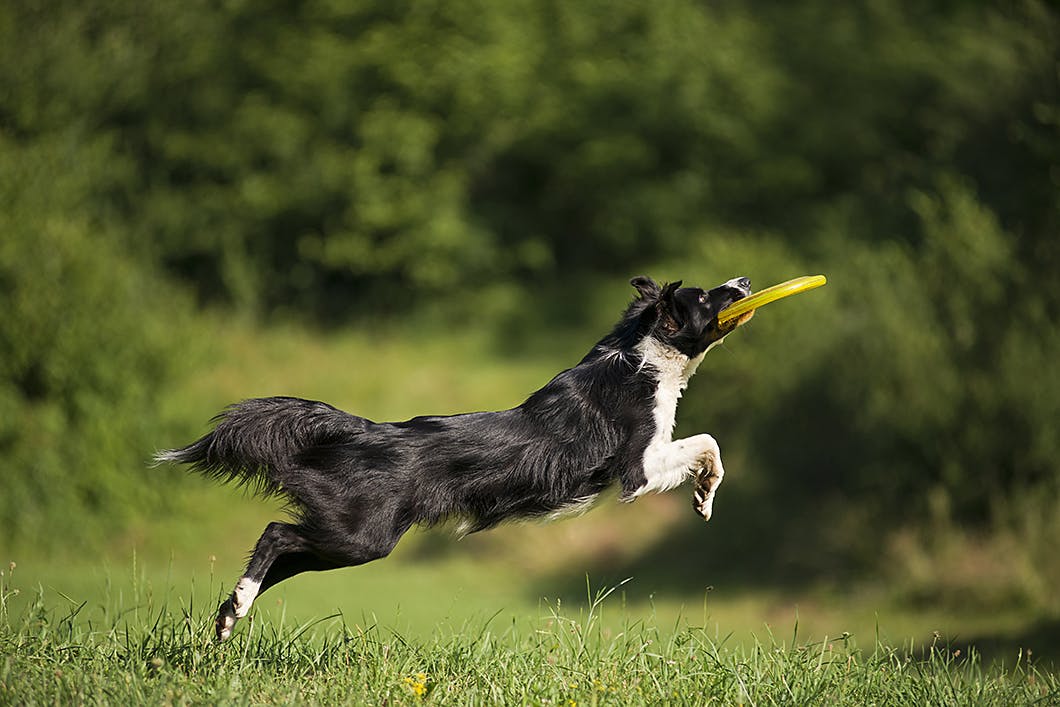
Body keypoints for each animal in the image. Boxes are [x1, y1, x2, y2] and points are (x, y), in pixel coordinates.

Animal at [154, 275, 754, 640]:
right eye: (705, 299)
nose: (745, 283)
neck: (640, 355)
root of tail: (364, 430)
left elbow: (708, 445)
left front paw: (704, 497)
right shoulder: (637, 467)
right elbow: (707, 442)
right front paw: (705, 494)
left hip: (345, 537)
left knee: (282, 555)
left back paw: (230, 615)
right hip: (360, 536)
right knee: (277, 533)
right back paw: (237, 605)